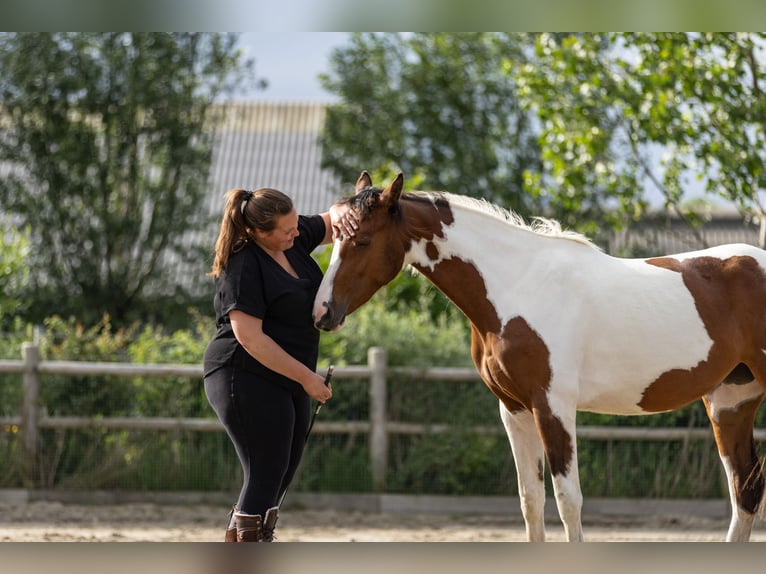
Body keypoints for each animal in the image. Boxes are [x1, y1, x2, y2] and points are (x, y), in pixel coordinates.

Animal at [314, 171, 766, 544]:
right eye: (335, 240)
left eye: (362, 241)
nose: (322, 313)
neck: (517, 284)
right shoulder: (514, 409)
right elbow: (530, 501)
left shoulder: (554, 407)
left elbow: (568, 501)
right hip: (731, 401)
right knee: (745, 490)